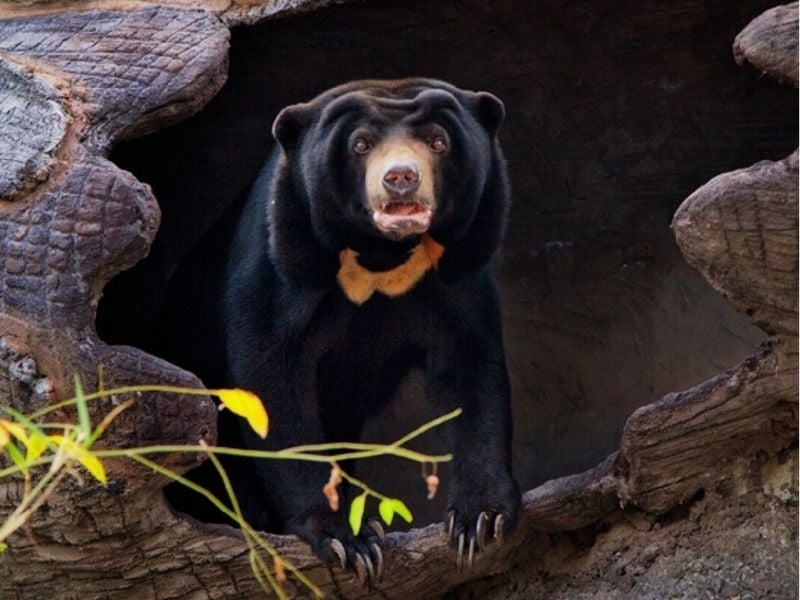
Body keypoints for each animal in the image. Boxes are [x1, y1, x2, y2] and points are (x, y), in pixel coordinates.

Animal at [219, 78, 520, 583]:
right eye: (359, 145)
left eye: (438, 141)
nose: (400, 177)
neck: (380, 258)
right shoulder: (279, 268)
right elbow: (272, 388)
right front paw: (350, 541)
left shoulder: (458, 277)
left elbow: (471, 371)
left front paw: (481, 519)